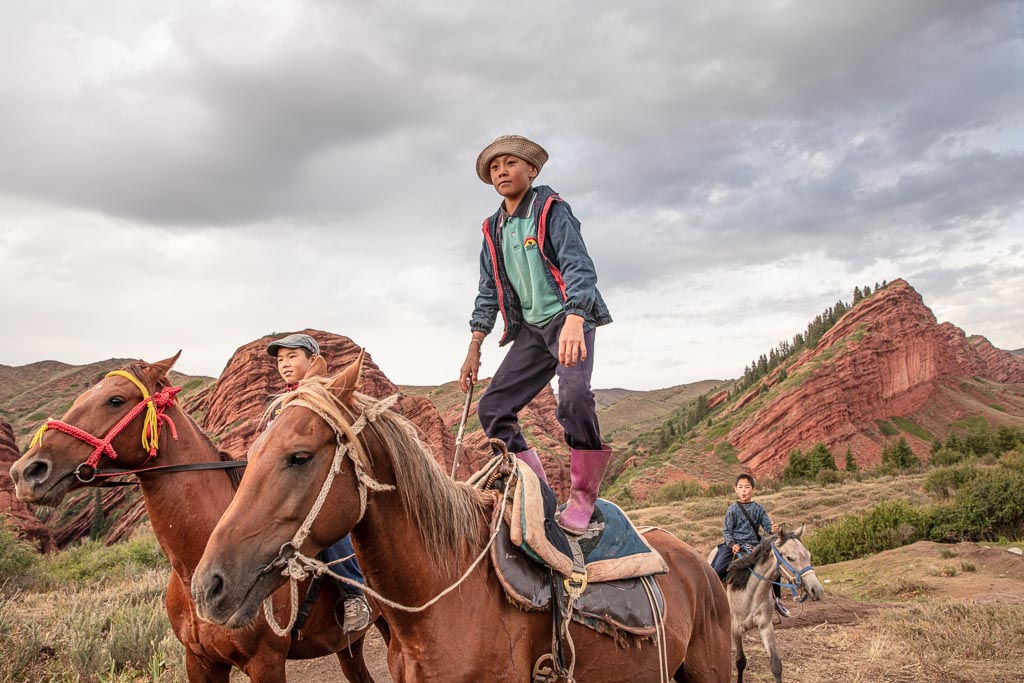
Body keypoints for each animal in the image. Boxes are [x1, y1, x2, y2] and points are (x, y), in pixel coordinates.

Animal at [6, 356, 382, 683]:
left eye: (115, 400)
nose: (26, 471)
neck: (192, 566)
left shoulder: (267, 662)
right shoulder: (199, 661)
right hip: (348, 646)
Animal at [712, 528, 823, 679]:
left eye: (809, 556)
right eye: (790, 558)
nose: (816, 590)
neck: (750, 592)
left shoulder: (765, 625)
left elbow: (776, 665)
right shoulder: (736, 628)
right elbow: (740, 661)